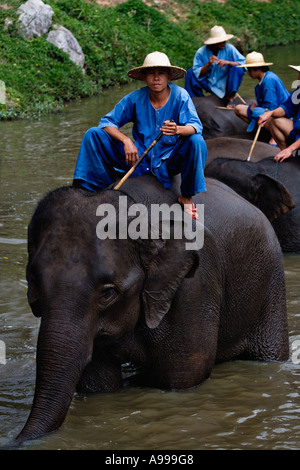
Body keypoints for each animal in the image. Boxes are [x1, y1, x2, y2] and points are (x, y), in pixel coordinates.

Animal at [11, 174, 288, 446]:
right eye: (34, 281)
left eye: (108, 293)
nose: (14, 441)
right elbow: (98, 382)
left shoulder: (195, 287)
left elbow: (184, 377)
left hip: (271, 284)